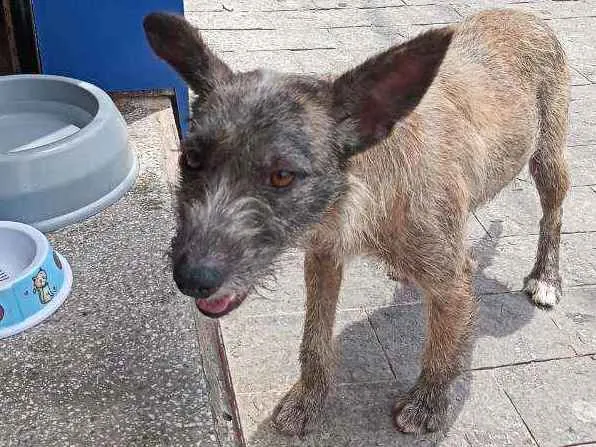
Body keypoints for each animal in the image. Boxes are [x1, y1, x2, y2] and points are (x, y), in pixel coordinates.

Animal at [142, 8, 572, 438]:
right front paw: (308, 400)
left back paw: (546, 276)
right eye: (191, 159)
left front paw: (428, 403)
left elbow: (443, 347)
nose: (191, 278)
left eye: (282, 176)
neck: (363, 197)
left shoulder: (453, 279)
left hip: (549, 159)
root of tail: (522, 12)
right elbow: (314, 341)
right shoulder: (323, 257)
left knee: (552, 215)